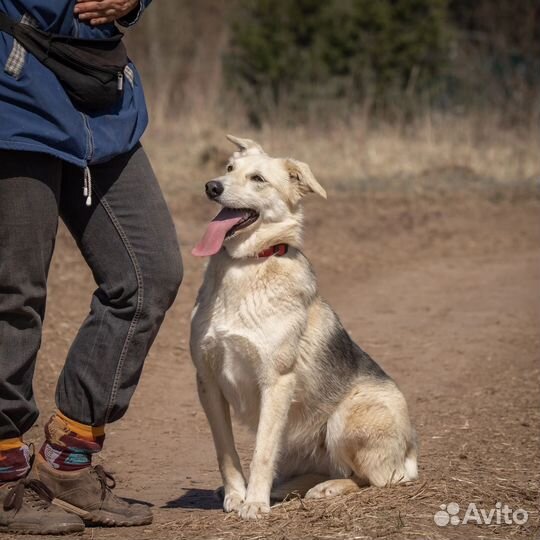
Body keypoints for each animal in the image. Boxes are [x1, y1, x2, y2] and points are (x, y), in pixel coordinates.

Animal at [190, 134, 418, 520]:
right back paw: (287, 488)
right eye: (229, 168)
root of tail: (410, 450)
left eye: (258, 179)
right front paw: (236, 495)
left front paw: (254, 502)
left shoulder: (276, 381)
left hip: (347, 416)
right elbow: (226, 452)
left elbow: (261, 453)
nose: (211, 186)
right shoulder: (207, 381)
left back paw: (326, 488)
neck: (245, 266)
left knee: (375, 478)